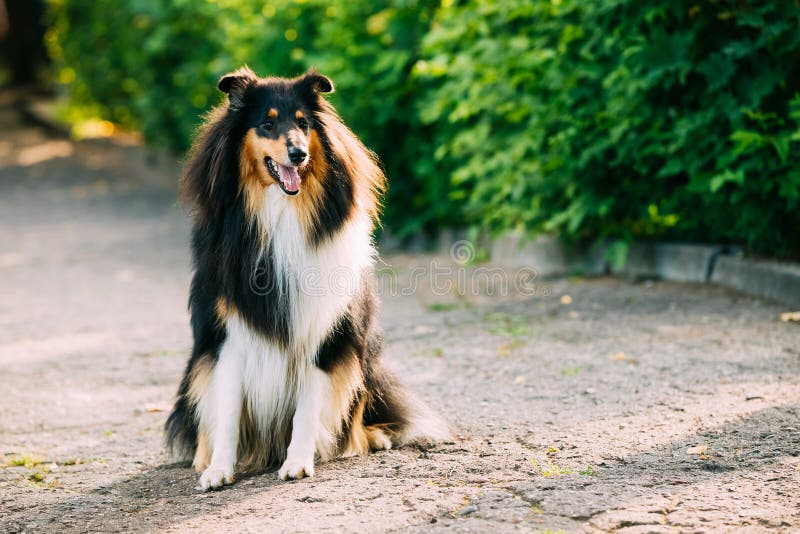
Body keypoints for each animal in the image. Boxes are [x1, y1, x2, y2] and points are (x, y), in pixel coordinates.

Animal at [166, 66, 446, 490]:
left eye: (303, 124)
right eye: (267, 123)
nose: (299, 154)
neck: (280, 211)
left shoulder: (324, 330)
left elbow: (308, 406)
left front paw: (298, 461)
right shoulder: (228, 334)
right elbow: (227, 407)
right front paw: (219, 468)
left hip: (364, 355)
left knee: (358, 413)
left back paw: (369, 439)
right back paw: (204, 456)